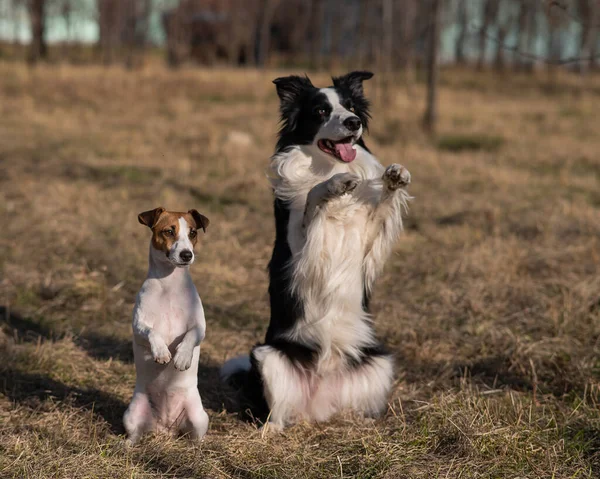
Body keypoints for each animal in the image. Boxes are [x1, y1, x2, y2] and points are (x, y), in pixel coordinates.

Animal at [123, 206, 210, 446]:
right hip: (132, 415)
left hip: (199, 418)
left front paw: (181, 357)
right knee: (134, 434)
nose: (187, 255)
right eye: (169, 231)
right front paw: (162, 352)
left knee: (196, 438)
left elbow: (190, 336)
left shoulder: (199, 326)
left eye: (192, 233)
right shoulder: (138, 324)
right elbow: (152, 332)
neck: (170, 286)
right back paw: (127, 445)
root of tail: (166, 427)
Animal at [223, 71, 410, 432]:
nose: (353, 123)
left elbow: (383, 203)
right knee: (274, 412)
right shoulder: (297, 249)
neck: (328, 165)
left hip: (379, 362)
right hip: (267, 357)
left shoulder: (369, 240)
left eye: (351, 107)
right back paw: (271, 429)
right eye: (321, 111)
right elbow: (312, 197)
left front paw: (395, 176)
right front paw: (332, 186)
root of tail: (319, 400)